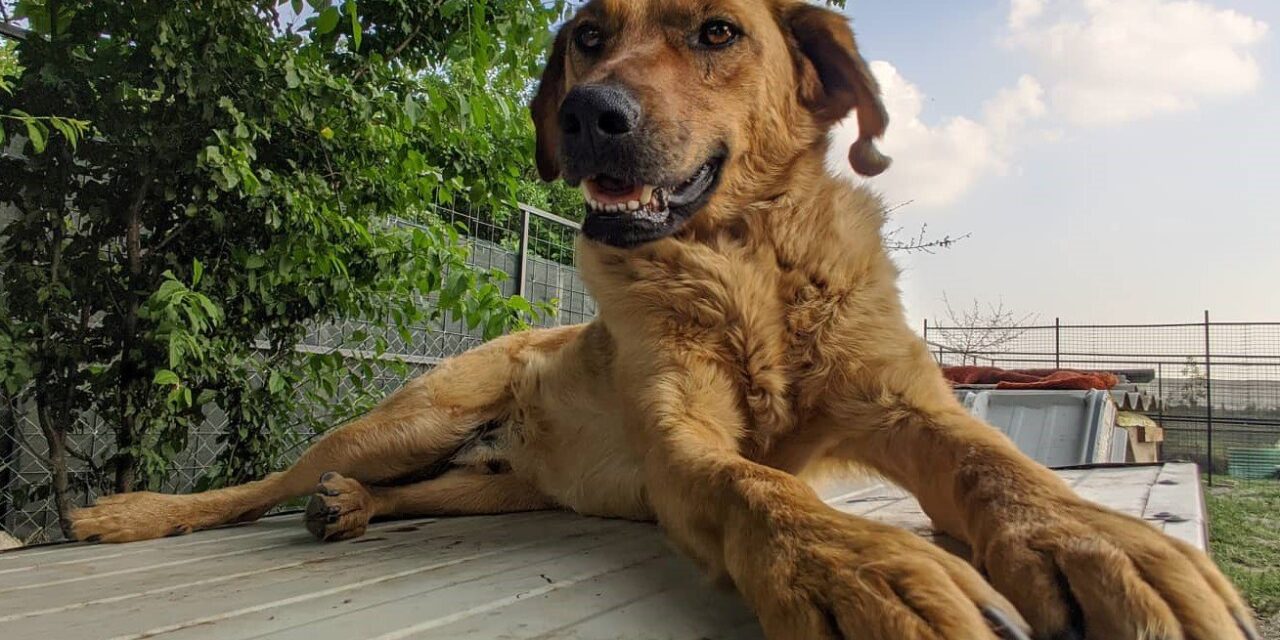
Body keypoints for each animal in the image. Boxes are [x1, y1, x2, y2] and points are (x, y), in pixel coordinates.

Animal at [64, 2, 1254, 637]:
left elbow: (998, 464)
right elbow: (756, 486)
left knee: (414, 492)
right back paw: (134, 515)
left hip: (494, 483)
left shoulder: (898, 402)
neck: (743, 265)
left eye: (717, 32)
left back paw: (352, 509)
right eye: (589, 37)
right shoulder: (685, 440)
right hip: (411, 415)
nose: (589, 114)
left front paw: (1103, 546)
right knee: (263, 483)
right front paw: (861, 568)